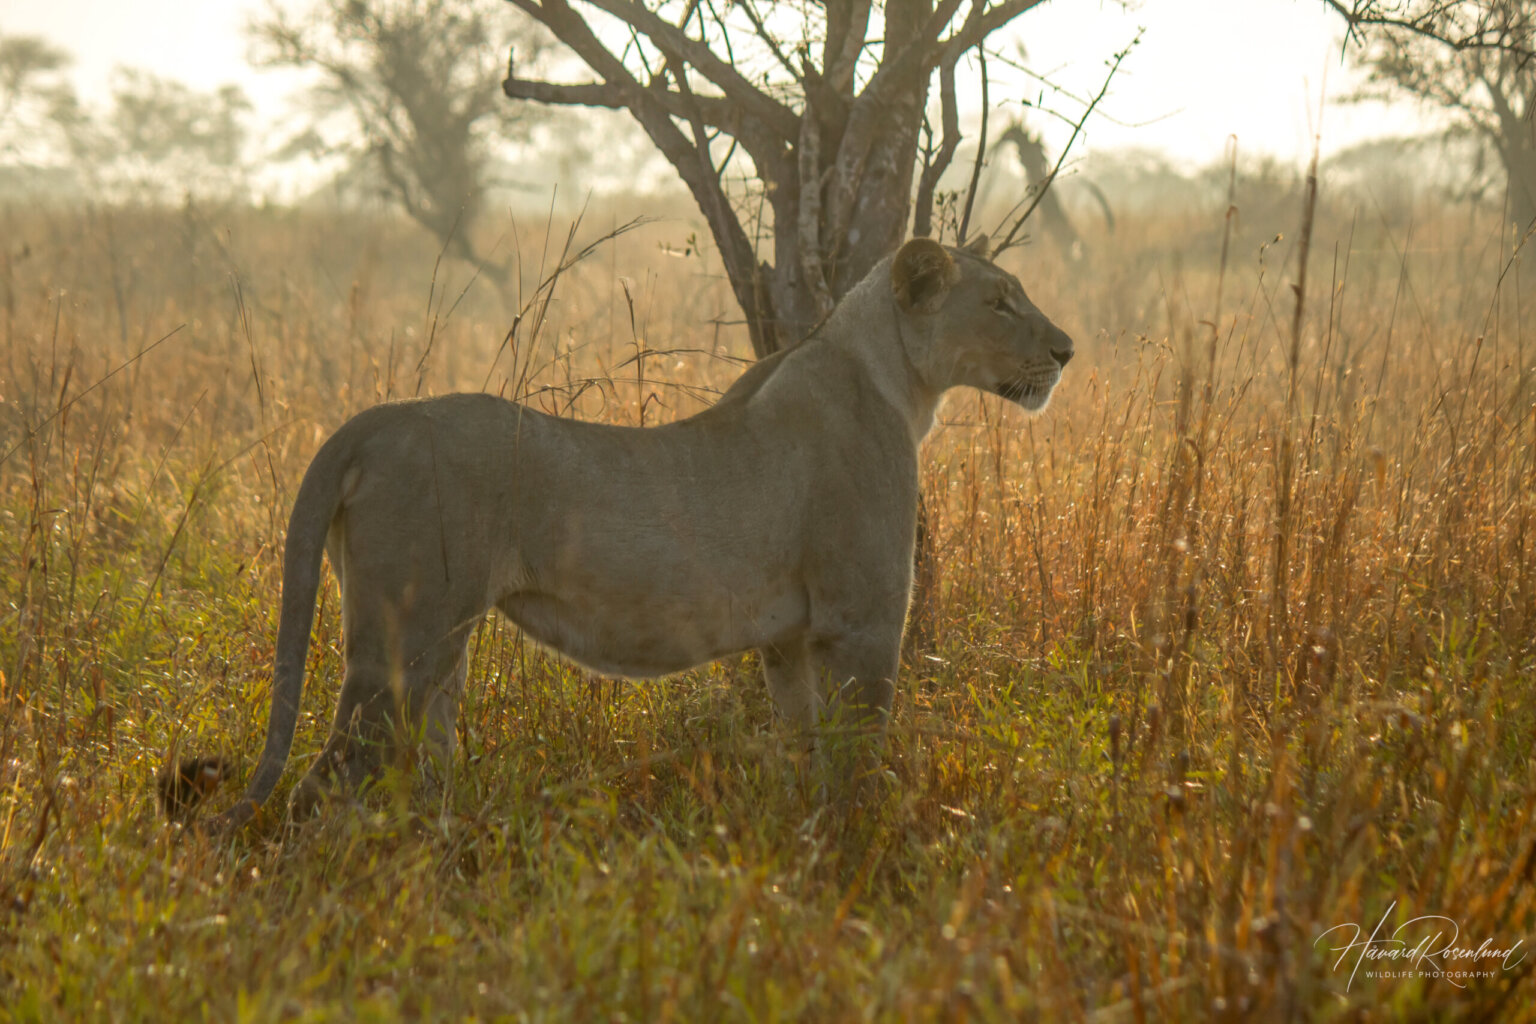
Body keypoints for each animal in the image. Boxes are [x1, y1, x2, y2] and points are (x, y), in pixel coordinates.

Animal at [161, 235, 1074, 827]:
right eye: (1000, 302)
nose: (1067, 348)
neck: (897, 382)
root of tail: (372, 422)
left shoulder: (789, 643)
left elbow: (804, 750)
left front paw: (808, 839)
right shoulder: (863, 622)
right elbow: (859, 758)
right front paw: (862, 851)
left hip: (438, 648)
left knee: (413, 764)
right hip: (405, 640)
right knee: (329, 780)